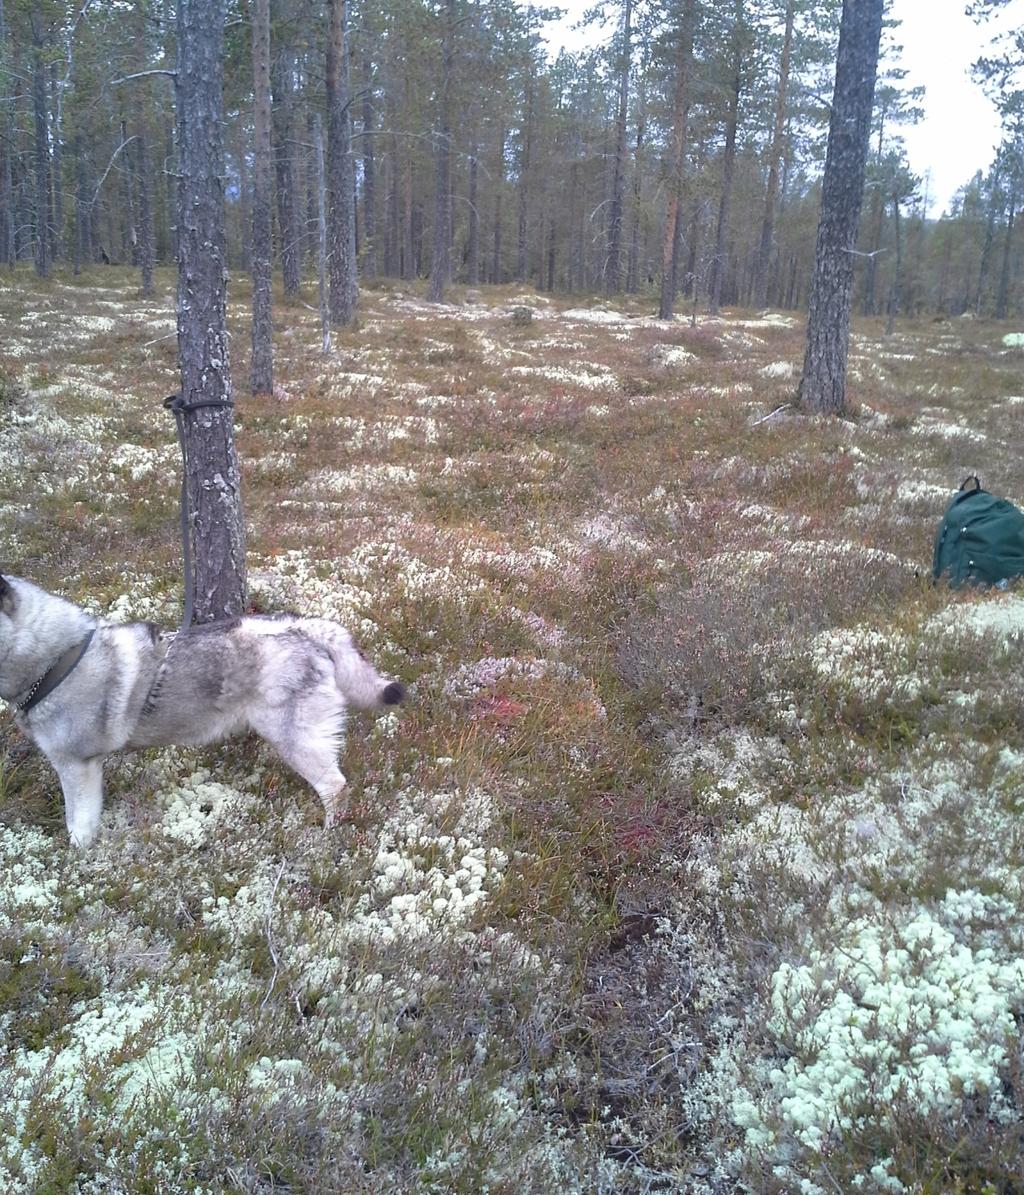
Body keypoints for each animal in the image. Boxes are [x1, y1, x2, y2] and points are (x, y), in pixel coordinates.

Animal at [0, 573, 403, 846]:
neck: (56, 660)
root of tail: (305, 628)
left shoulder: (76, 766)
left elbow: (79, 824)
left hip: (295, 740)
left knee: (335, 786)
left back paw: (325, 838)